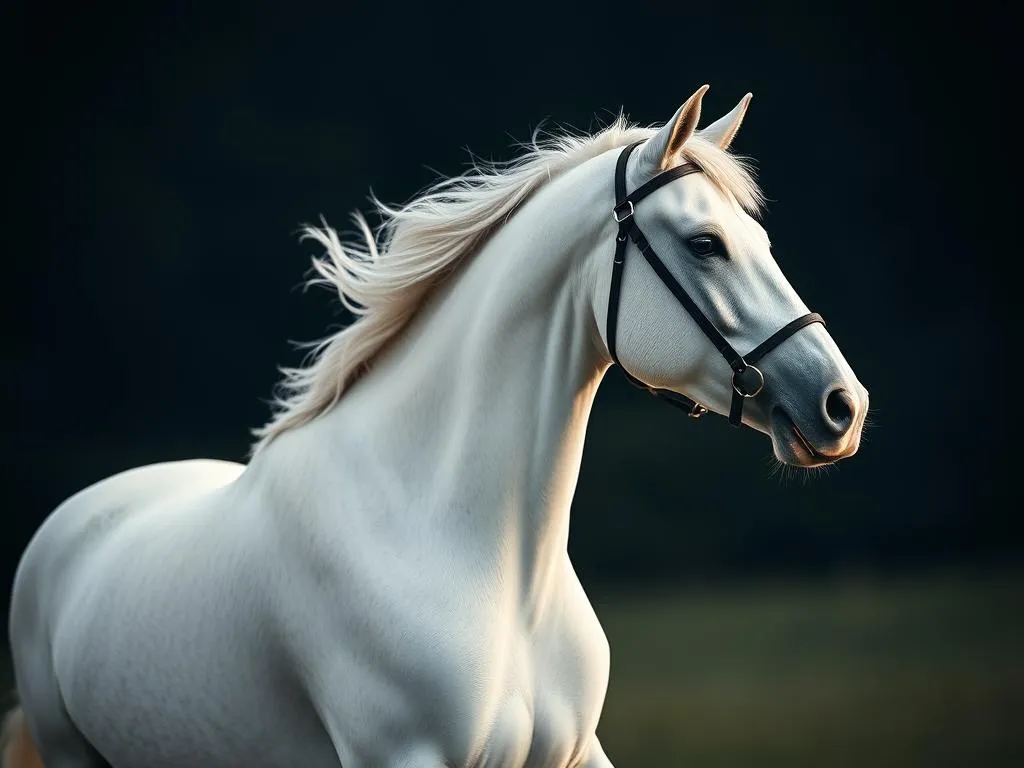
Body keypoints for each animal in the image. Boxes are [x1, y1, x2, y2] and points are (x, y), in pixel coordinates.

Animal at [4, 87, 872, 765]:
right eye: (705, 244)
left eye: (759, 240)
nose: (843, 406)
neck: (478, 556)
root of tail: (74, 521)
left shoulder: (576, 752)